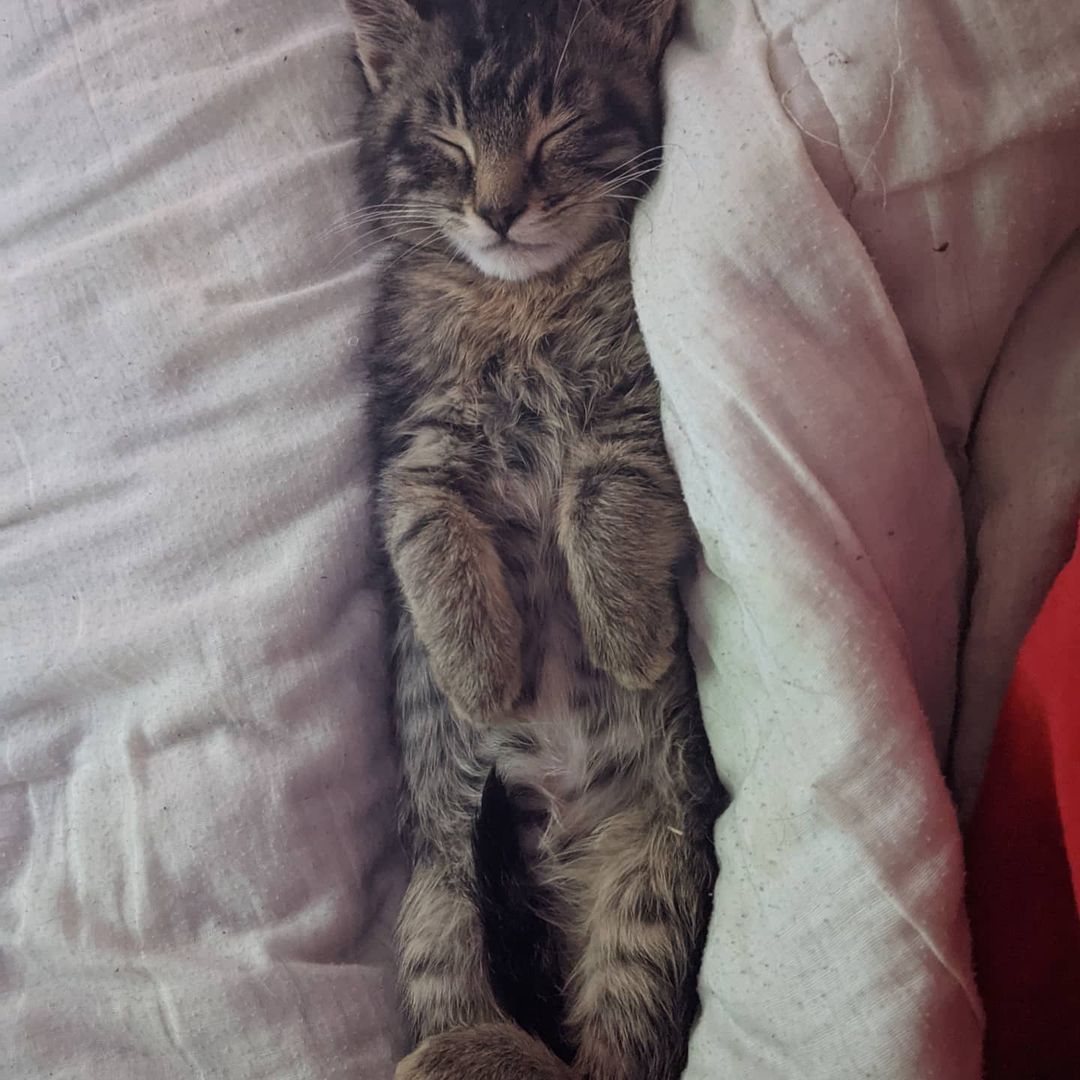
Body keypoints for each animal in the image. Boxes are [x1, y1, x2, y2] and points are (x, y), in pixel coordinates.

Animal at [345, 2, 724, 1078]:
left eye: (558, 131)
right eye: (449, 143)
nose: (501, 212)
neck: (520, 300)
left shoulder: (637, 414)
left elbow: (605, 496)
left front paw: (628, 638)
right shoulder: (411, 448)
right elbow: (428, 539)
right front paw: (480, 674)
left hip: (654, 885)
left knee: (614, 1057)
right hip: (442, 908)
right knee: (493, 1011)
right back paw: (452, 1052)